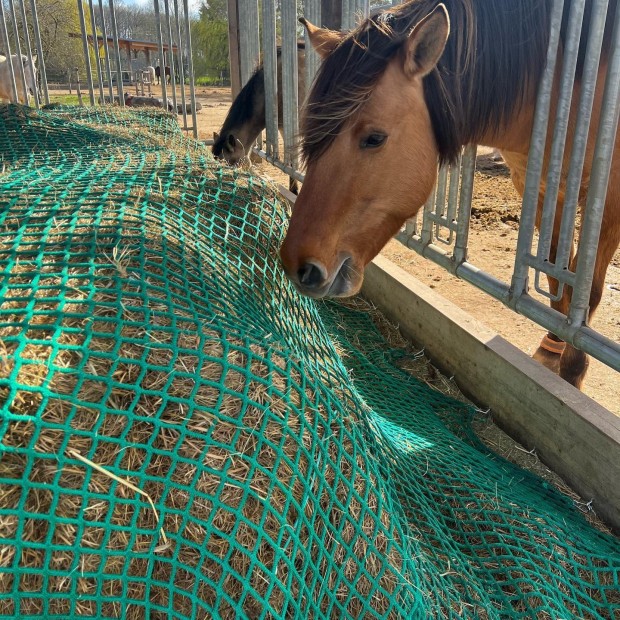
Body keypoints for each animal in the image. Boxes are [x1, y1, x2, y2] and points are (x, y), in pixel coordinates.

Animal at [280, 1, 620, 388]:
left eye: (375, 138)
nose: (298, 267)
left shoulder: (608, 204)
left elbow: (585, 291)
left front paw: (572, 373)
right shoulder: (541, 187)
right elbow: (555, 278)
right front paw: (553, 349)